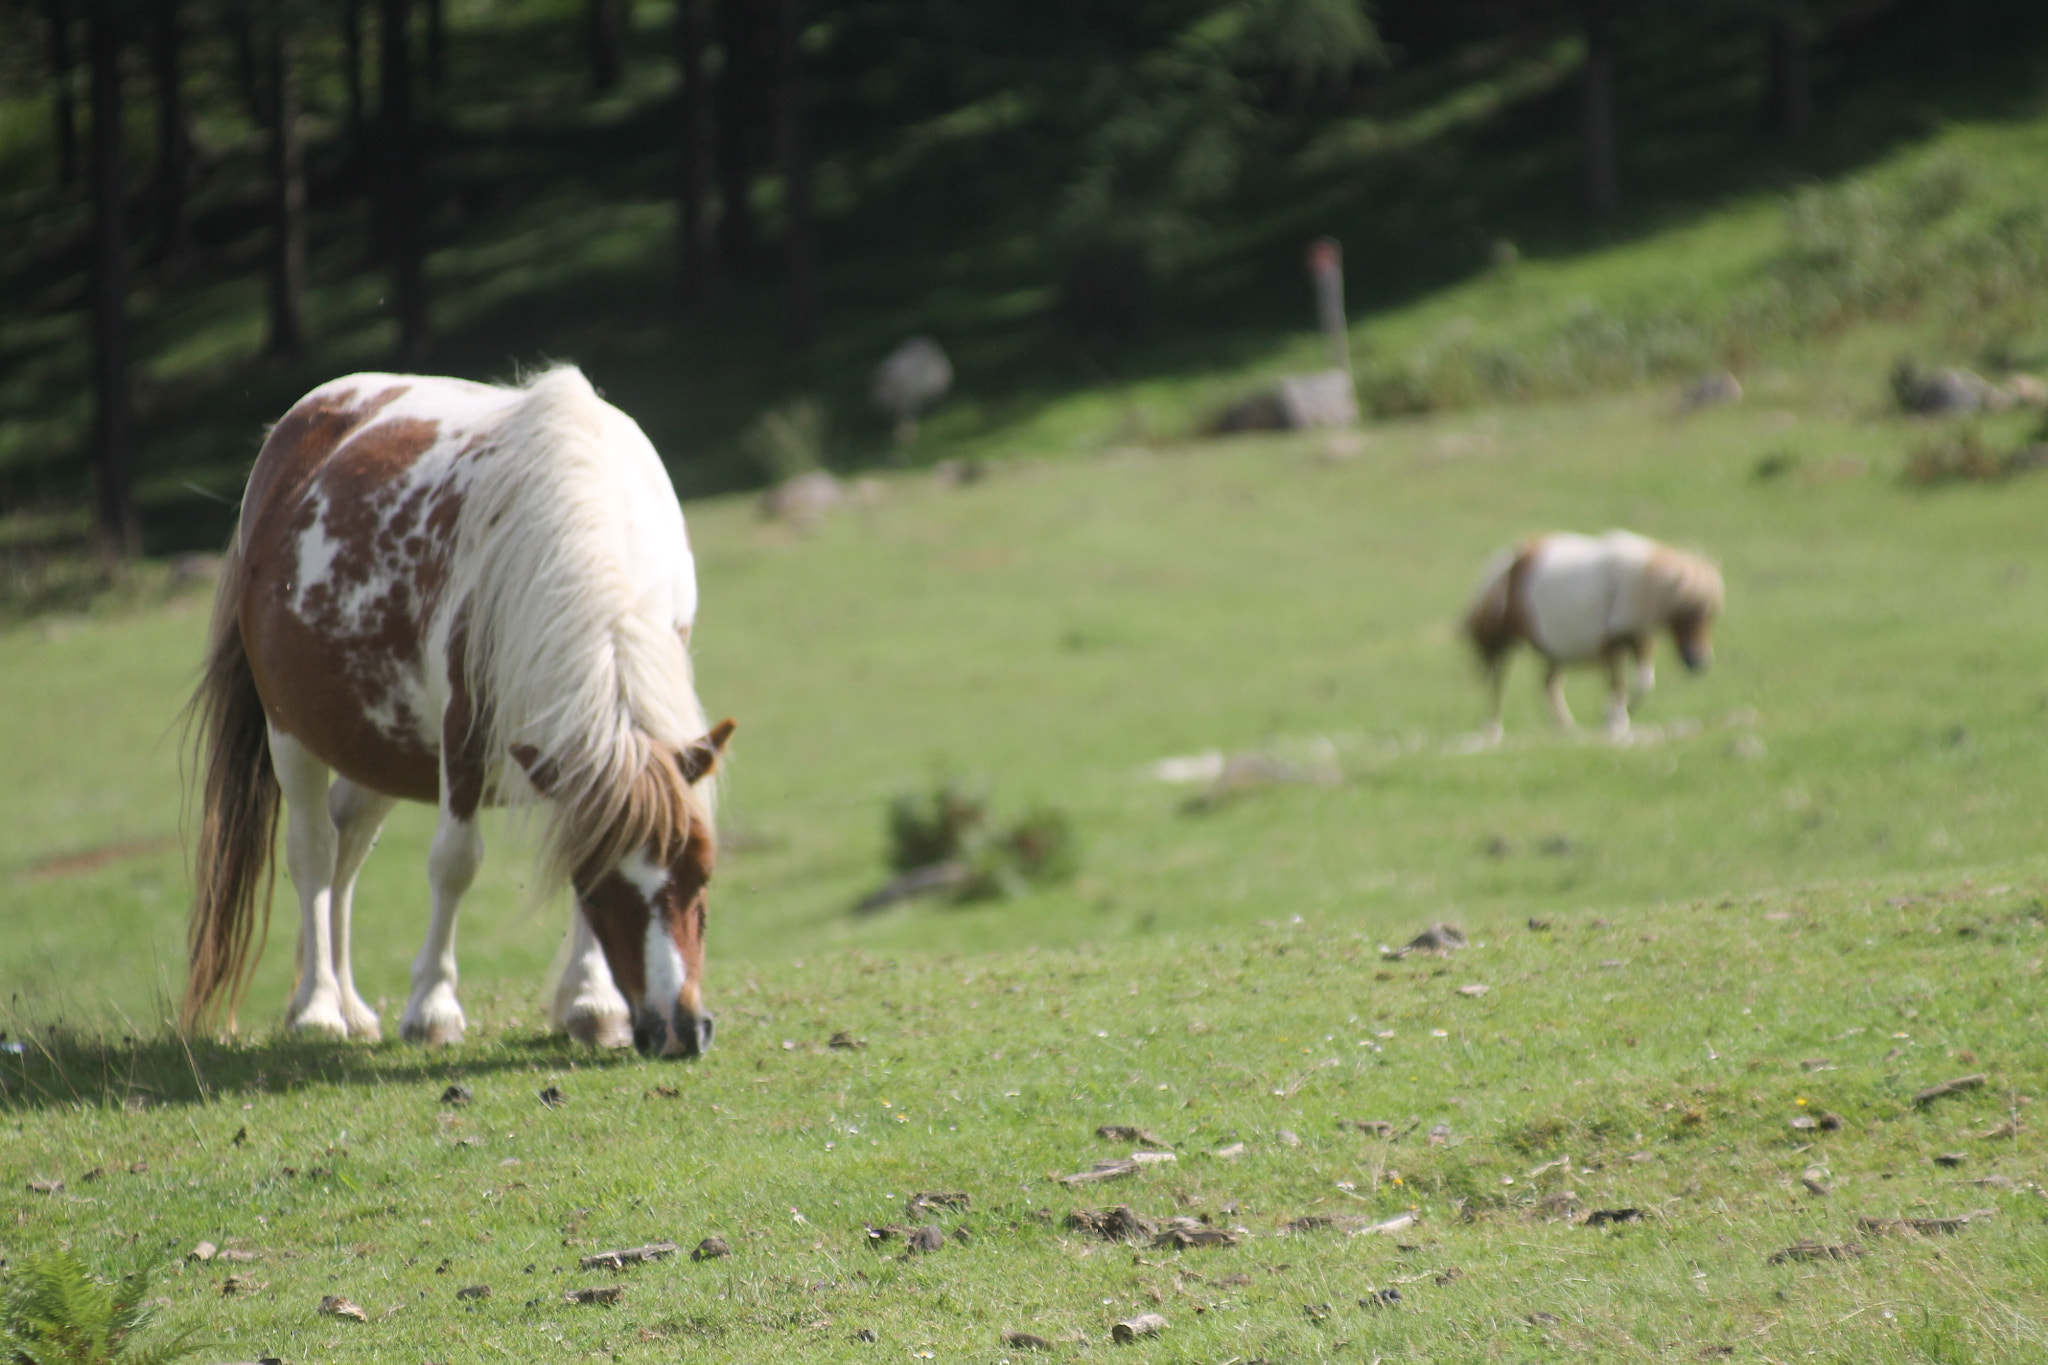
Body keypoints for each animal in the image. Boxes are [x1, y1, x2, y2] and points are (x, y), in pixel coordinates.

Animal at [180, 362, 733, 1055]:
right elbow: (455, 863)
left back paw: (351, 1005)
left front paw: (590, 1003)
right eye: (597, 890)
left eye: (703, 874)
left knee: (348, 842)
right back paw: (318, 1008)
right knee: (313, 850)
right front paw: (434, 1008)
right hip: (293, 730)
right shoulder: (466, 728)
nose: (679, 1029)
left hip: (379, 743)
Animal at [1466, 532, 1720, 749]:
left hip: (1553, 650)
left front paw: (1615, 717)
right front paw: (1615, 721)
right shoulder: (1610, 647)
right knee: (1498, 680)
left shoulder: (1638, 639)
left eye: (1710, 615)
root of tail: (1514, 557)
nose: (1699, 662)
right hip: (1503, 641)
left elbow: (1644, 683)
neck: (1633, 582)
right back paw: (1494, 728)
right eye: (1687, 610)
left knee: (1549, 684)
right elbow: (1618, 685)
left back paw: (1565, 725)